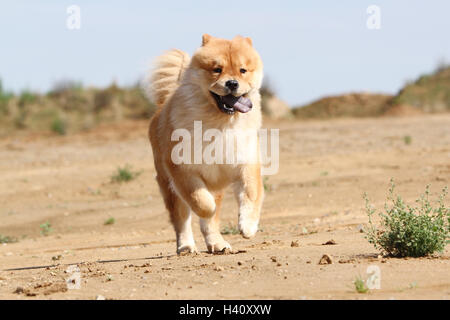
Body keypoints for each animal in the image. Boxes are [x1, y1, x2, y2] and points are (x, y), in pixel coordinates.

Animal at [148, 34, 264, 255]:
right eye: (217, 69)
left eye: (242, 70)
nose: (232, 83)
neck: (220, 124)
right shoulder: (183, 170)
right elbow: (201, 202)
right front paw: (207, 207)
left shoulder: (245, 163)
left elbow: (251, 193)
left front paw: (248, 226)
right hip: (169, 185)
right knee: (182, 218)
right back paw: (186, 247)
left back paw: (218, 245)